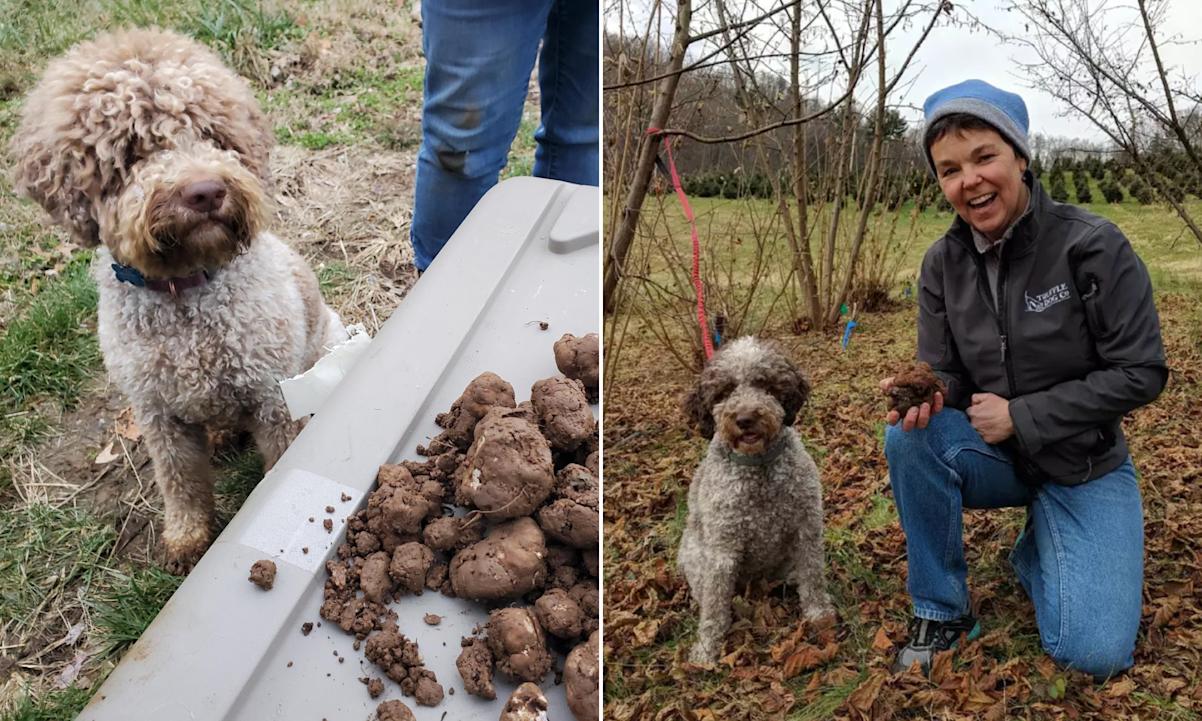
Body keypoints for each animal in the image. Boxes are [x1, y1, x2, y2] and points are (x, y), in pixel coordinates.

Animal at [10, 29, 348, 574]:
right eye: (130, 151)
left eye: (211, 135)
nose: (206, 192)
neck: (182, 293)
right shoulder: (157, 415)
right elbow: (181, 481)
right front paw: (187, 540)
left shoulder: (272, 397)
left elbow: (280, 459)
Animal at [677, 338, 836, 663]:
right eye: (725, 391)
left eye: (765, 384)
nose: (745, 419)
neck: (759, 469)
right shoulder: (722, 550)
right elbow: (714, 606)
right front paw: (706, 650)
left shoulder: (806, 529)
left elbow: (813, 575)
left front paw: (819, 614)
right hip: (694, 555)